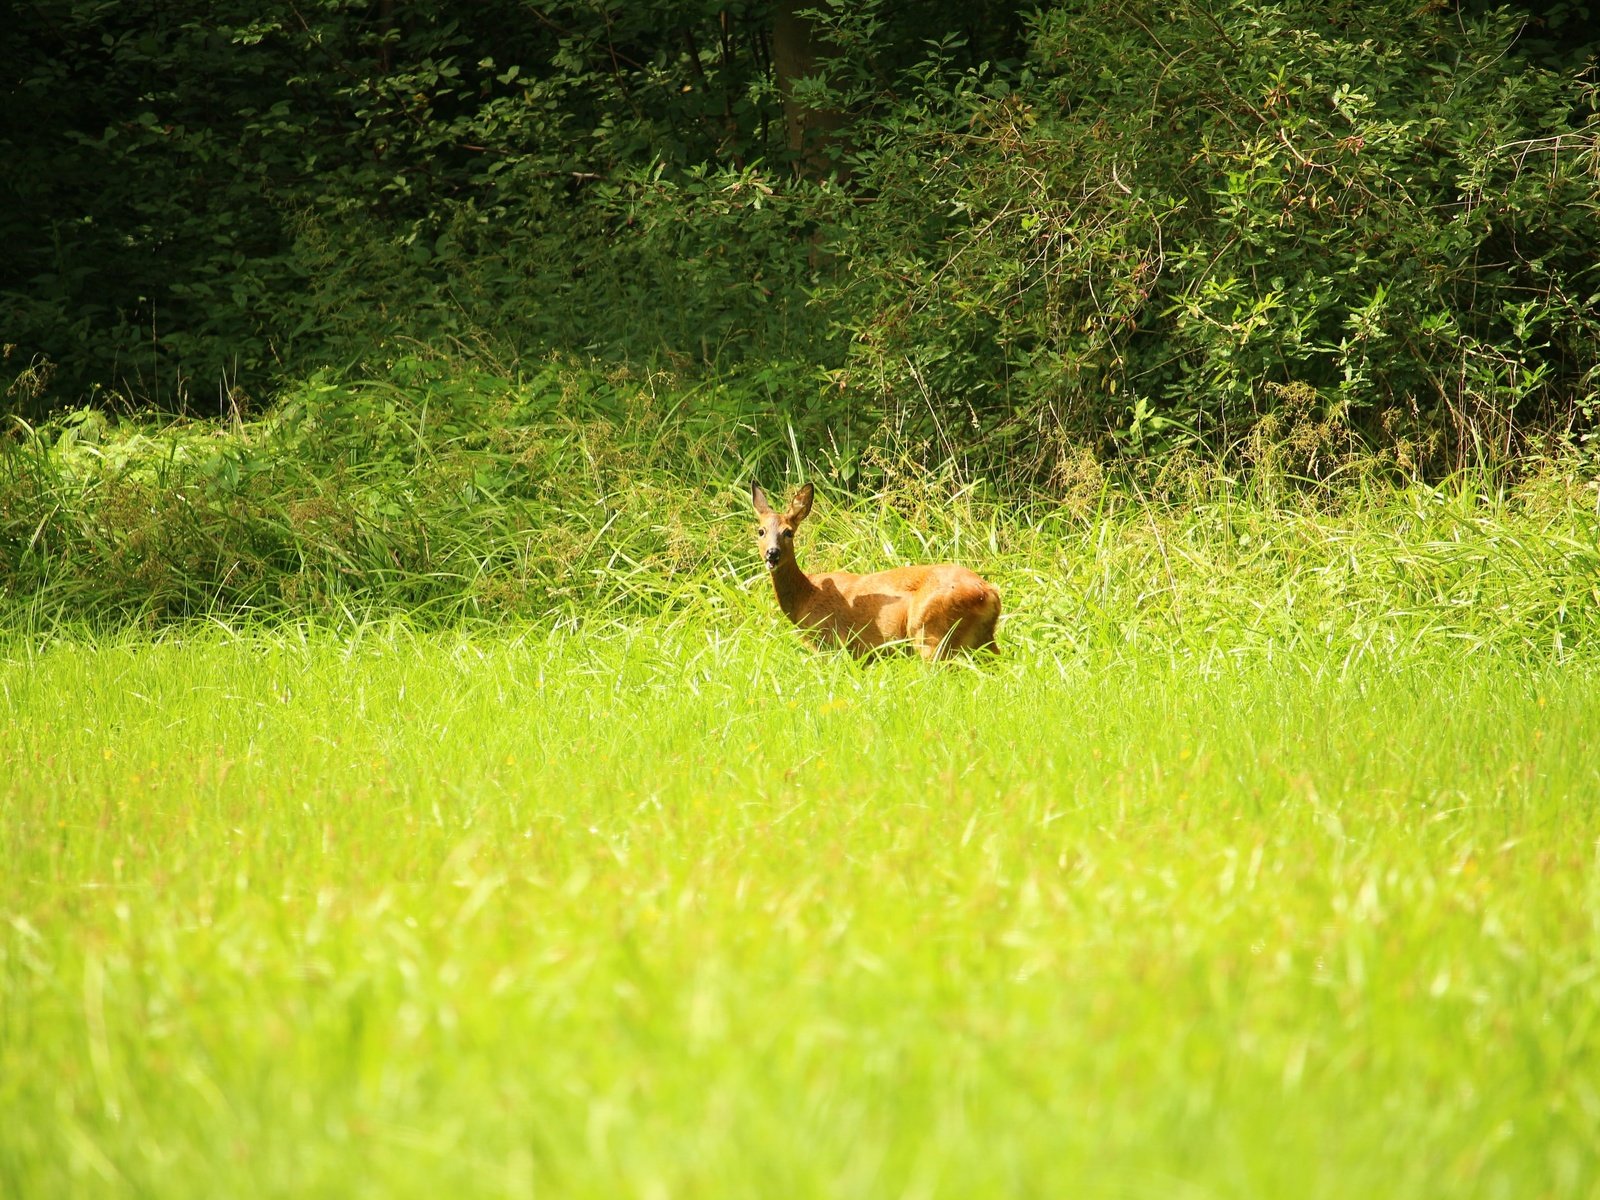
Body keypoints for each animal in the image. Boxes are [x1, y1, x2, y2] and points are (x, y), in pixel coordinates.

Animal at [748, 483, 998, 668]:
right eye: (761, 531)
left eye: (788, 532)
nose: (772, 553)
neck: (806, 596)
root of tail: (988, 593)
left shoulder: (831, 644)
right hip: (981, 640)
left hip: (930, 633)